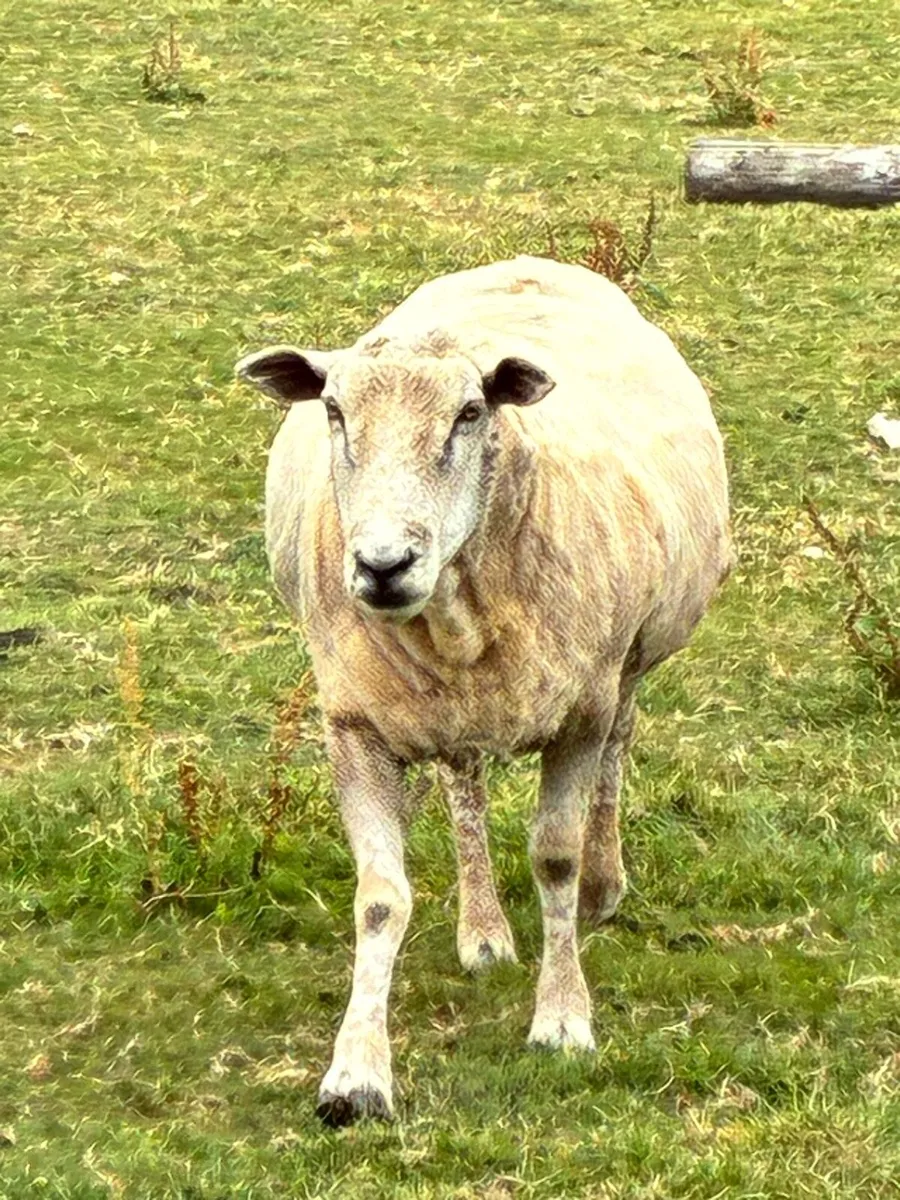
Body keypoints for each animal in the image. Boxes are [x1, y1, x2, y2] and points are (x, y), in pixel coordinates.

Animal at [236, 254, 731, 1127]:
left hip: (630, 659)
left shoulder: (581, 712)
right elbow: (380, 898)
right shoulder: (357, 726)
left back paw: (604, 885)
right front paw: (355, 1075)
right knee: (463, 783)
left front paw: (563, 1018)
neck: (453, 618)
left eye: (470, 413)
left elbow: (555, 858)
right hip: (445, 709)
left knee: (618, 751)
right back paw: (484, 930)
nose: (383, 564)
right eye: (333, 411)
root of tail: (526, 262)